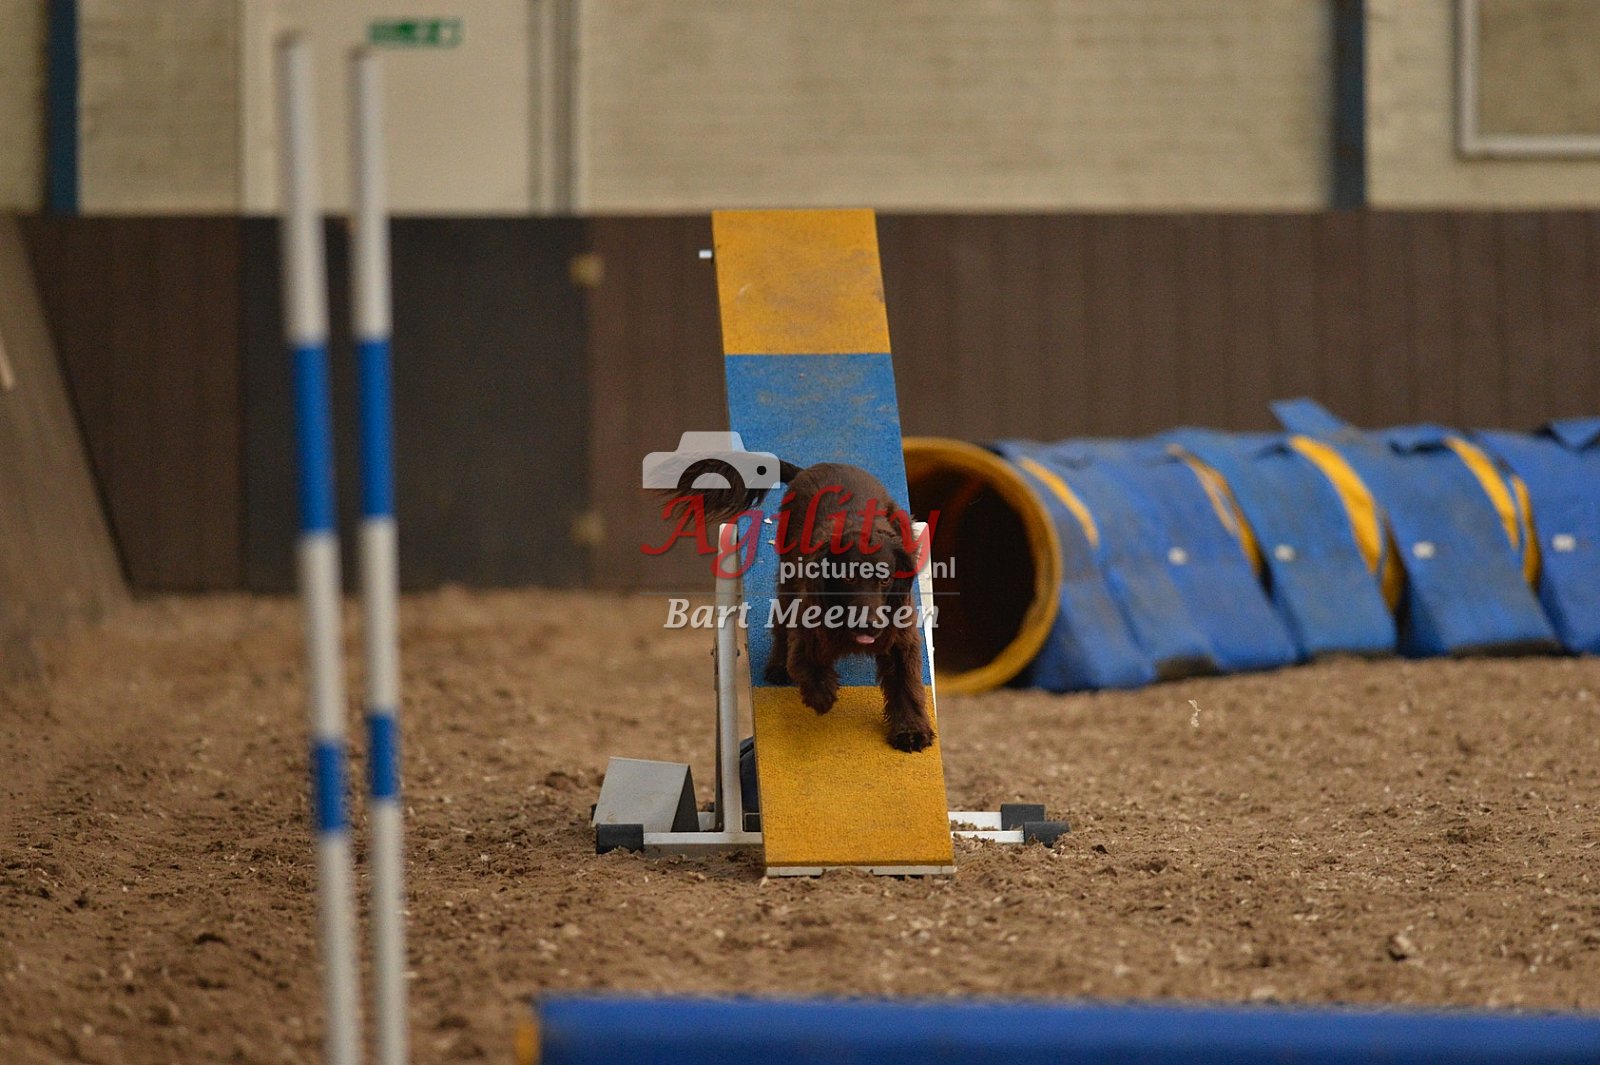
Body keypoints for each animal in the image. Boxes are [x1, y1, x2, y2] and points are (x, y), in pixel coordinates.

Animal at [663, 458, 935, 753]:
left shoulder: (900, 637)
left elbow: (906, 683)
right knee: (782, 624)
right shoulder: (809, 622)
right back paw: (778, 667)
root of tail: (812, 468)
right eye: (849, 577)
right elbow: (805, 659)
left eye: (885, 579)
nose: (869, 625)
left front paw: (911, 730)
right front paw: (821, 692)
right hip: (788, 573)